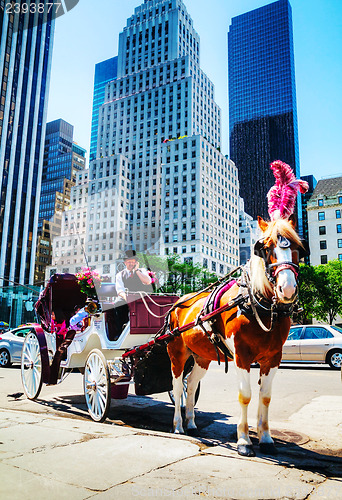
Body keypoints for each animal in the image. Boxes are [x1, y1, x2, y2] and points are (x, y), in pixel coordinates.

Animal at [167, 215, 304, 458]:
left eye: (297, 248)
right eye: (266, 248)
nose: (287, 289)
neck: (257, 302)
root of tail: (178, 302)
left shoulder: (273, 357)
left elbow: (265, 396)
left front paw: (266, 439)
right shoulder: (242, 355)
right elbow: (245, 395)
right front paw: (244, 441)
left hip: (202, 357)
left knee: (190, 385)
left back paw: (191, 423)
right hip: (177, 354)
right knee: (176, 386)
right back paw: (178, 426)